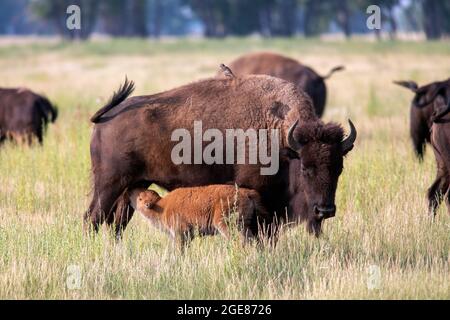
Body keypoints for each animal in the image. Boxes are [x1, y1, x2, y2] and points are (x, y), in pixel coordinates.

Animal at [86, 74, 356, 240]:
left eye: (338, 169)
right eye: (305, 168)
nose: (325, 210)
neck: (281, 136)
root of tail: (105, 117)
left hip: (134, 184)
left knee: (117, 223)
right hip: (108, 184)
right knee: (93, 218)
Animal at [127, 184, 268, 249]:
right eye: (140, 198)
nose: (147, 204)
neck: (162, 206)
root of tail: (247, 193)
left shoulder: (181, 233)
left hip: (226, 225)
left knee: (240, 240)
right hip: (245, 227)